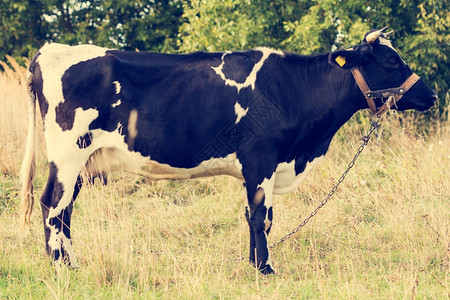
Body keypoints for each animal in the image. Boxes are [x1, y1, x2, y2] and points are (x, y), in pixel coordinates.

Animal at [20, 27, 436, 274]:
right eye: (392, 61)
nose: (430, 94)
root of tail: (49, 51)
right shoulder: (261, 158)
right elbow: (261, 217)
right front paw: (265, 270)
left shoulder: (264, 165)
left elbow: (257, 215)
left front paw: (255, 264)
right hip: (67, 152)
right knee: (52, 204)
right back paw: (61, 267)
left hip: (82, 160)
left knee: (65, 210)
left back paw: (73, 263)